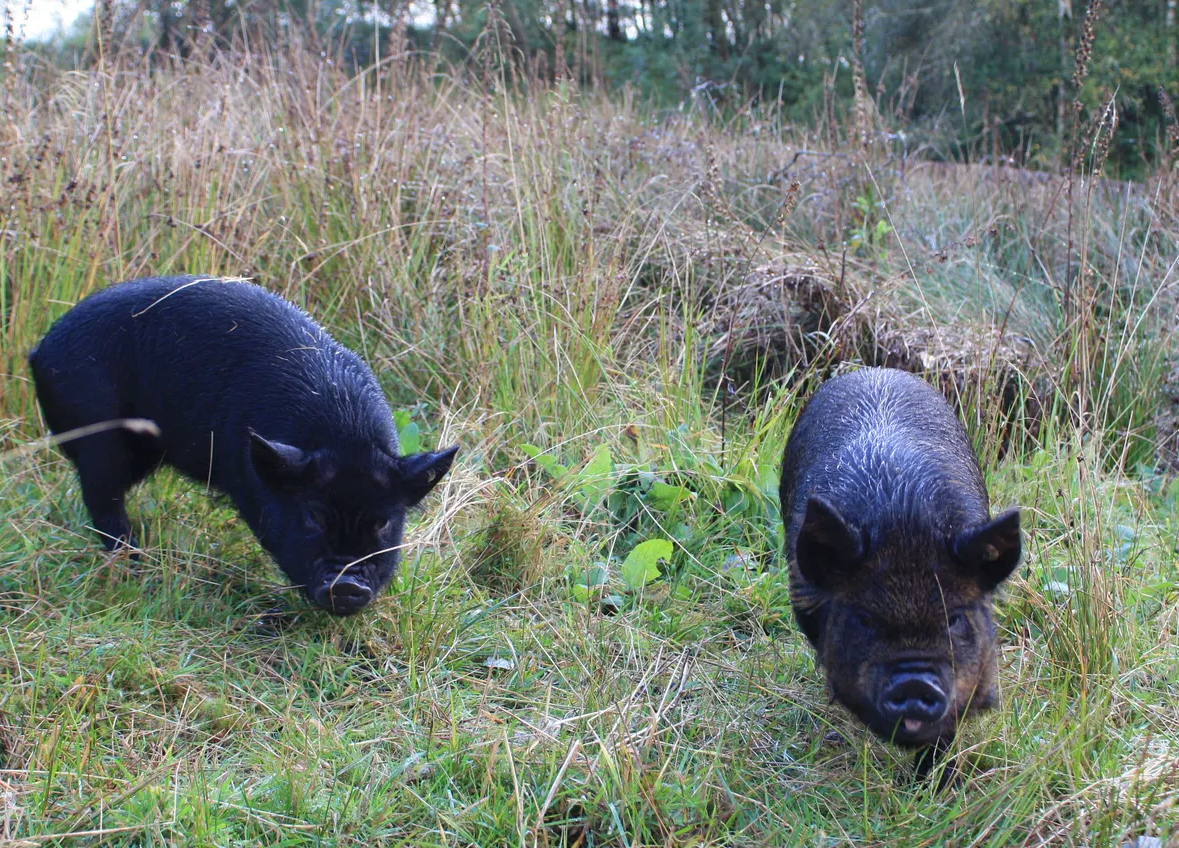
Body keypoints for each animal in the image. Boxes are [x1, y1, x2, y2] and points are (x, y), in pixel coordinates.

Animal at [31, 278, 455, 618]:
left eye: (383, 523)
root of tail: (40, 351)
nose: (348, 584)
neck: (344, 430)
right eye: (313, 517)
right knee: (103, 502)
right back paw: (137, 562)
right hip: (98, 439)